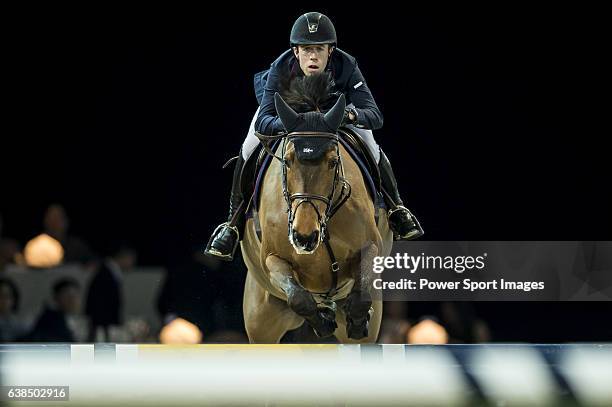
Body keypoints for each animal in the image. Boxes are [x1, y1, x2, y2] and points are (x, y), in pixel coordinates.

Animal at [239, 75, 392, 342]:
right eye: (287, 161)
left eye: (333, 162)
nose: (304, 237)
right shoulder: (272, 259)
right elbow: (299, 297)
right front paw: (322, 323)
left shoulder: (372, 246)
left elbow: (361, 292)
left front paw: (357, 319)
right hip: (260, 320)